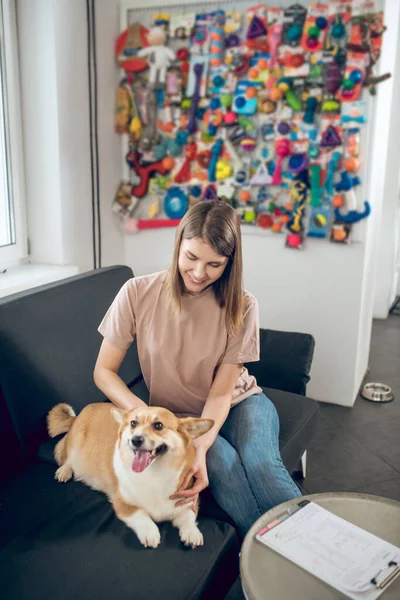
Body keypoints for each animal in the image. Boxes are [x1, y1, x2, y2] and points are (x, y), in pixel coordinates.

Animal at [46, 404, 212, 548]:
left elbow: (189, 517)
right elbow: (141, 515)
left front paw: (192, 533)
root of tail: (77, 416)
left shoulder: (188, 501)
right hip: (74, 444)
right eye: (133, 423)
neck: (154, 474)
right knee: (66, 458)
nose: (135, 439)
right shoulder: (123, 504)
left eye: (158, 426)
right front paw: (151, 533)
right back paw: (64, 471)